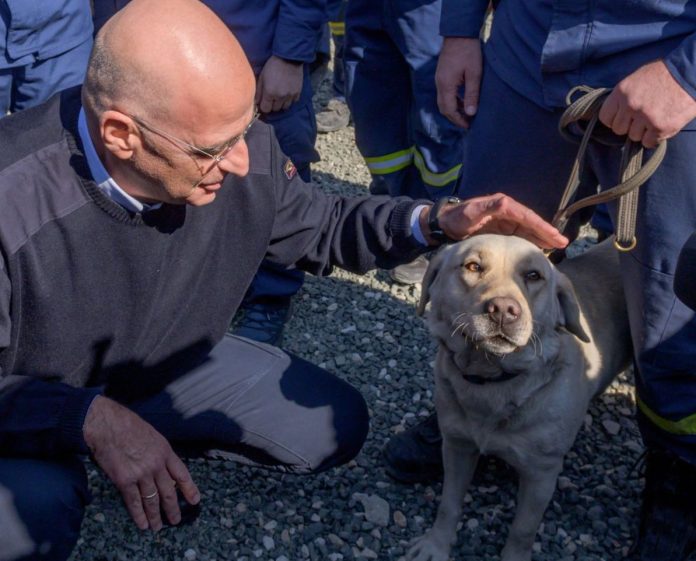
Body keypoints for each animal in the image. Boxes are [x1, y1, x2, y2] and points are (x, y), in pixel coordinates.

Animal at [408, 233, 632, 560]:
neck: (492, 381)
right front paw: (436, 545)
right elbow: (449, 504)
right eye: (473, 266)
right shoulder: (457, 446)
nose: (503, 310)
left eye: (534, 276)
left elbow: (523, 529)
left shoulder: (542, 474)